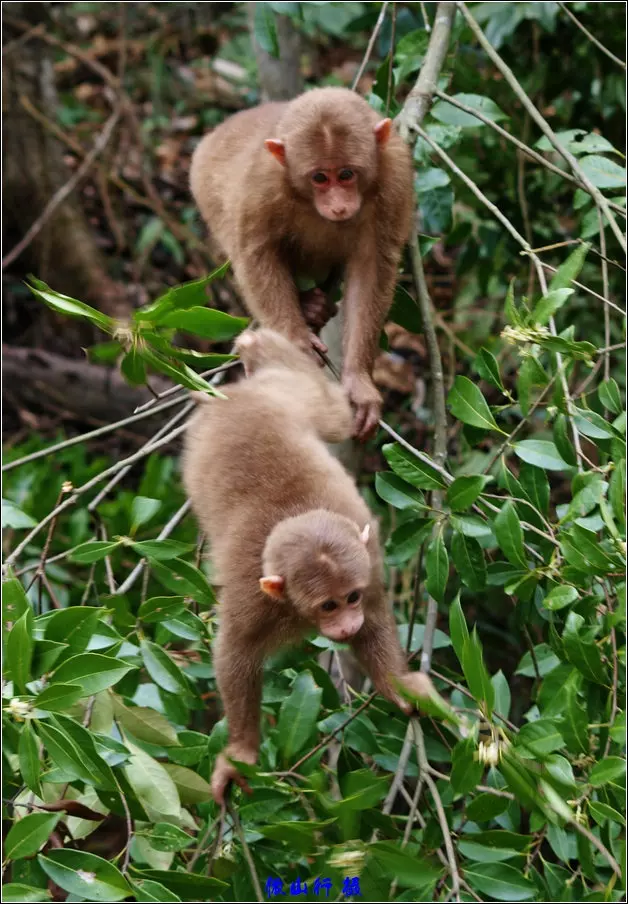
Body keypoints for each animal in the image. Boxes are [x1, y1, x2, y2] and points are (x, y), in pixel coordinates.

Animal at [183, 328, 432, 800]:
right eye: (328, 606)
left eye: (351, 597)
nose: (346, 624)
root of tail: (242, 397)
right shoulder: (251, 598)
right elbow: (235, 654)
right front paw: (241, 751)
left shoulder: (369, 559)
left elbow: (375, 619)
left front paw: (396, 685)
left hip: (295, 396)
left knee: (334, 415)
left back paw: (263, 349)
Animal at [191, 86, 418, 440]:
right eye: (320, 177)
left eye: (347, 174)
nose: (338, 205)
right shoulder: (263, 183)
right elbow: (256, 252)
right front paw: (296, 342)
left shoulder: (395, 176)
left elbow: (372, 266)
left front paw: (359, 381)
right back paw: (308, 306)